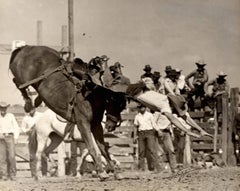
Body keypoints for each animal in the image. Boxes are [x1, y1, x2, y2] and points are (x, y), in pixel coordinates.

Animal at [9, 45, 126, 180]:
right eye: (113, 102)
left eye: (123, 106)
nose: (112, 125)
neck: (91, 93)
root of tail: (24, 47)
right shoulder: (83, 124)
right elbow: (92, 149)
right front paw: (101, 172)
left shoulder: (96, 126)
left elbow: (103, 149)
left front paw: (115, 172)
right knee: (18, 83)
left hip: (56, 138)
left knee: (45, 152)